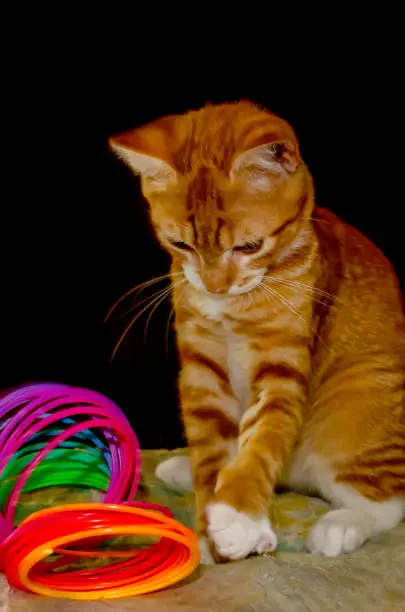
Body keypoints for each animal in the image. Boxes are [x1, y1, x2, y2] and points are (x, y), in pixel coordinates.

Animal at [109, 101, 402, 564]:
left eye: (248, 247)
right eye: (181, 245)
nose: (214, 286)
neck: (232, 307)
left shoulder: (282, 365)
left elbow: (263, 439)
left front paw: (238, 515)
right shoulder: (202, 370)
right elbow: (212, 449)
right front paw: (212, 524)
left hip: (358, 396)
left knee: (386, 500)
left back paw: (339, 526)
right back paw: (184, 470)